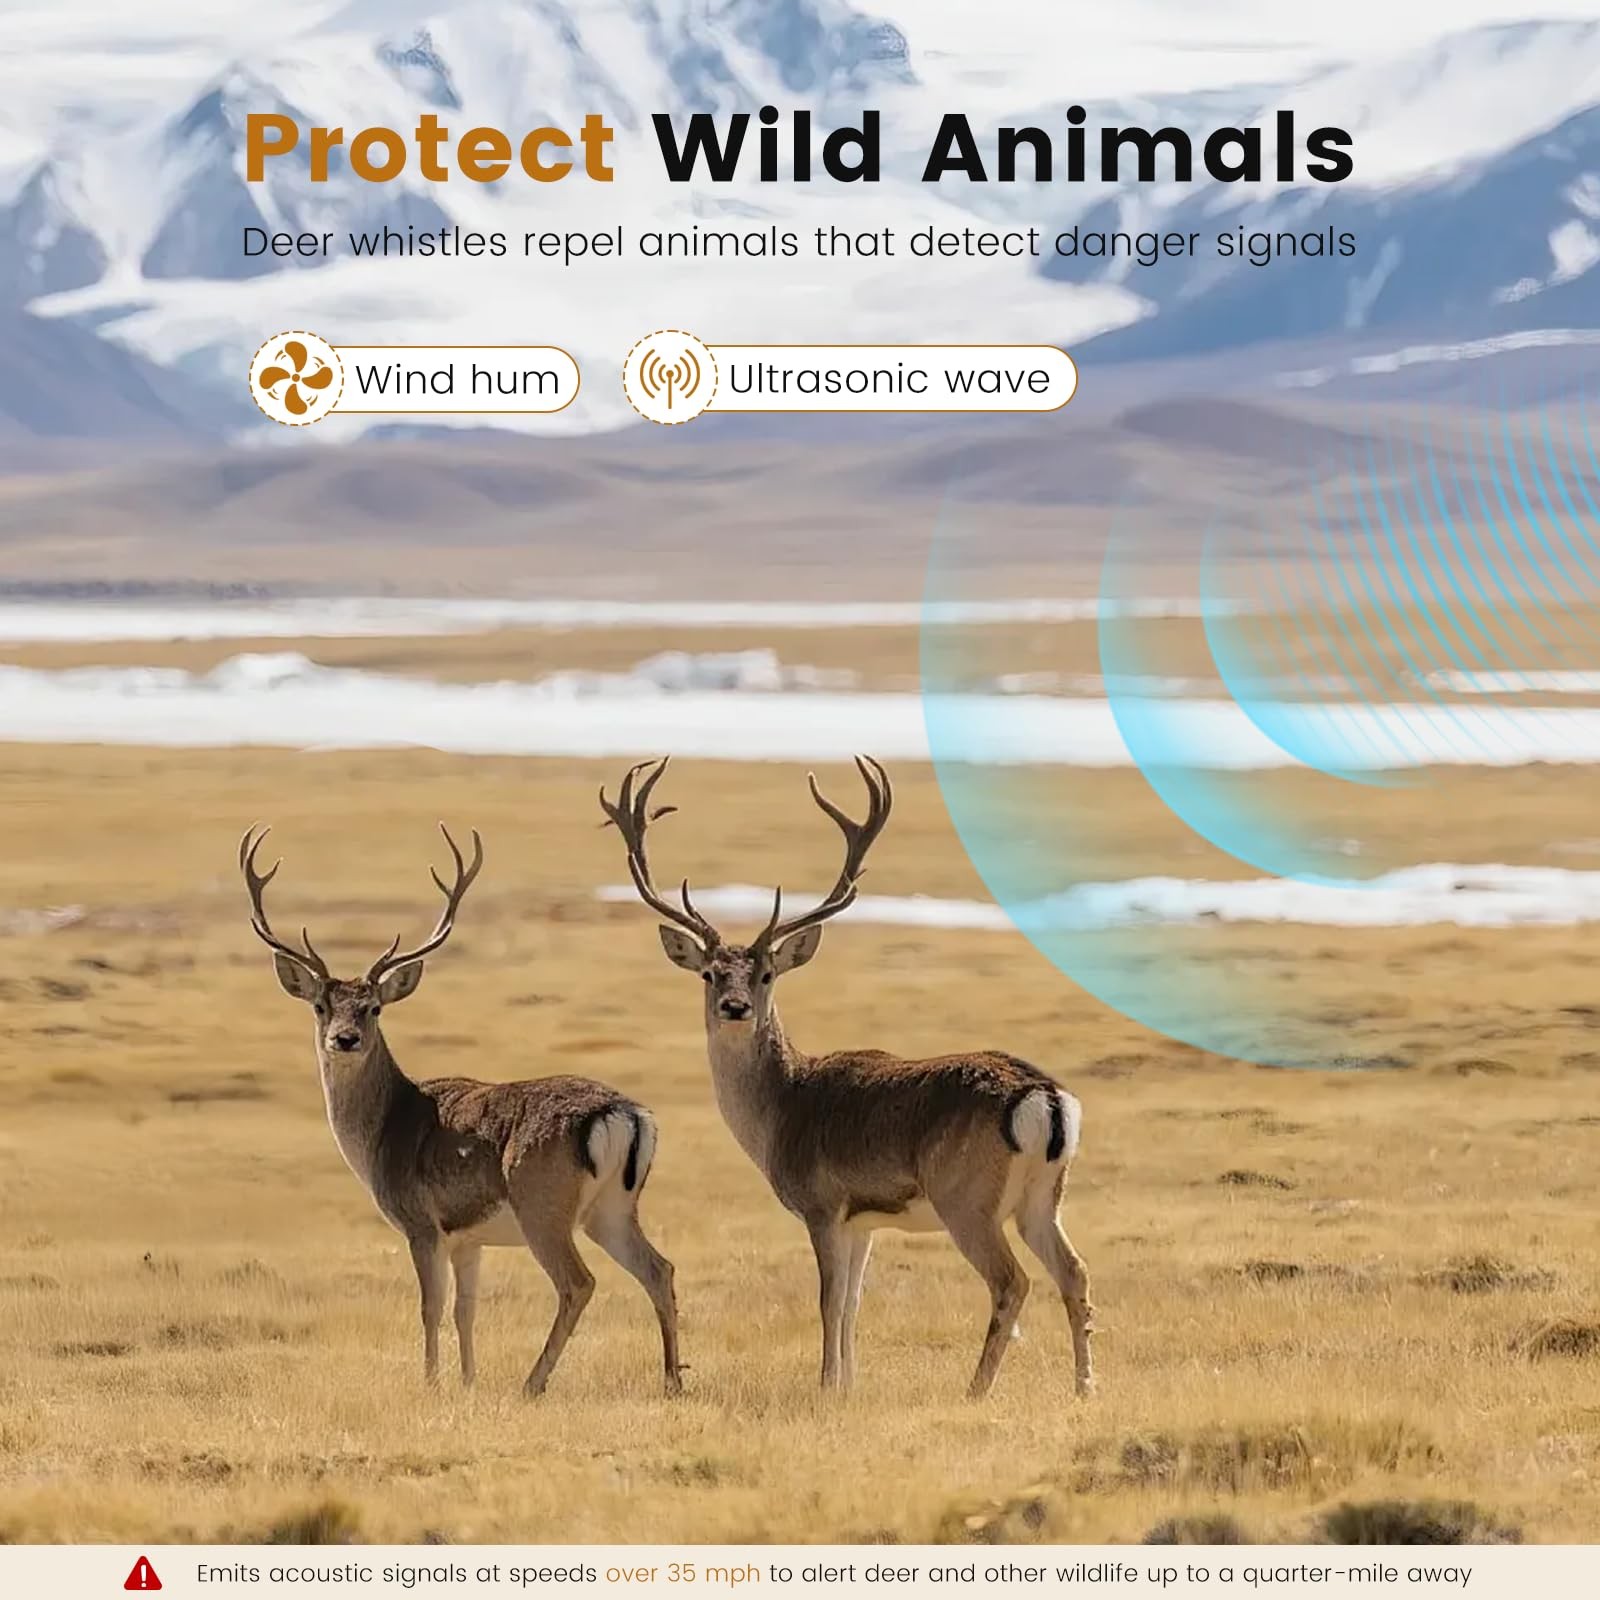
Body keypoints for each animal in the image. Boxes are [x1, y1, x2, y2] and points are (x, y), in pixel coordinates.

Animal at [239, 822, 682, 1398]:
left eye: (373, 1007)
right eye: (321, 1006)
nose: (344, 1039)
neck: (384, 1133)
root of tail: (623, 1114)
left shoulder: (421, 1222)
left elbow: (429, 1307)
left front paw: (429, 1383)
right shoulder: (468, 1239)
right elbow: (465, 1310)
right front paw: (468, 1381)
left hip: (542, 1202)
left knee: (578, 1283)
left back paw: (533, 1383)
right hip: (612, 1208)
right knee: (659, 1269)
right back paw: (673, 1381)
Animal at [600, 756, 1093, 1400]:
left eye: (766, 974)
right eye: (710, 973)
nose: (735, 1007)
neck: (783, 1110)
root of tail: (1045, 1098)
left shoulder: (823, 1204)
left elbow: (828, 1302)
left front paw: (825, 1384)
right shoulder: (864, 1220)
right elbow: (855, 1303)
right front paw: (849, 1385)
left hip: (967, 1199)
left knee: (1012, 1282)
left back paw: (975, 1388)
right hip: (1042, 1198)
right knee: (1075, 1272)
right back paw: (1086, 1386)